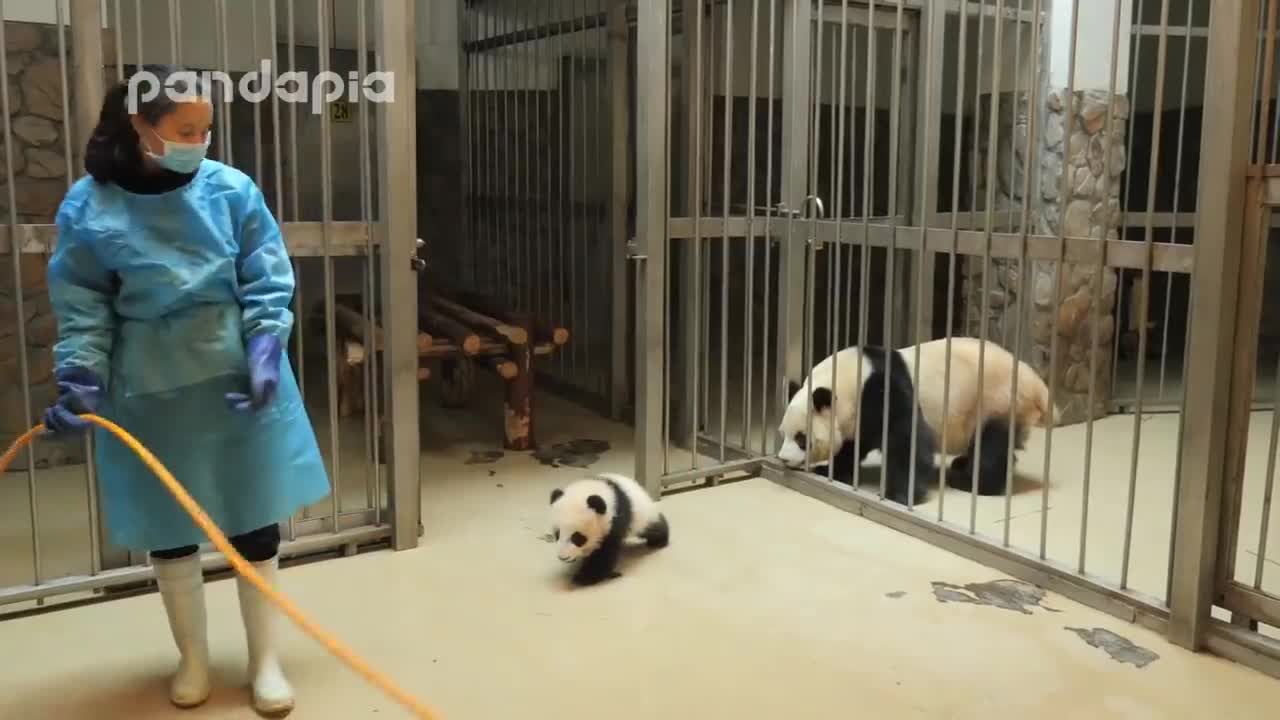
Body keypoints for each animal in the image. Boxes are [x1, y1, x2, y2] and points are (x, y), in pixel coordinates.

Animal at [773, 343, 936, 504]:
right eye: (783, 434)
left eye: (801, 438)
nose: (783, 458)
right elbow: (852, 448)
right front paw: (831, 472)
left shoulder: (882, 391)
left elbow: (906, 438)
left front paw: (897, 496)